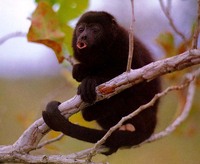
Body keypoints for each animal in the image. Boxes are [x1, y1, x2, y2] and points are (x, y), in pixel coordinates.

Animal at [42, 11, 161, 155]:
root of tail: (153, 116)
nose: (83, 36)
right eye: (81, 29)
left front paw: (92, 81)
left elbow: (136, 76)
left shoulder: (125, 44)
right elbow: (79, 71)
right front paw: (80, 70)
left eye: (95, 29)